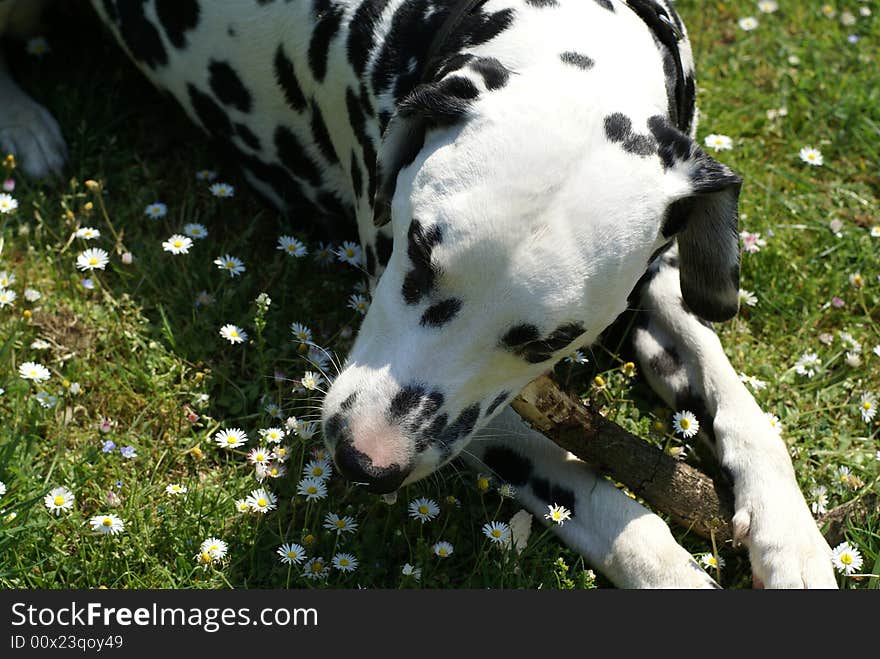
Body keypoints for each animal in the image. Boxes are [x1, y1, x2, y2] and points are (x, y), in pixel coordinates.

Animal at [1, 0, 840, 588]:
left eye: (548, 339)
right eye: (416, 254)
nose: (362, 460)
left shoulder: (656, 278)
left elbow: (738, 396)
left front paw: (790, 535)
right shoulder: (481, 422)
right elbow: (596, 493)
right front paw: (669, 567)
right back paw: (27, 124)